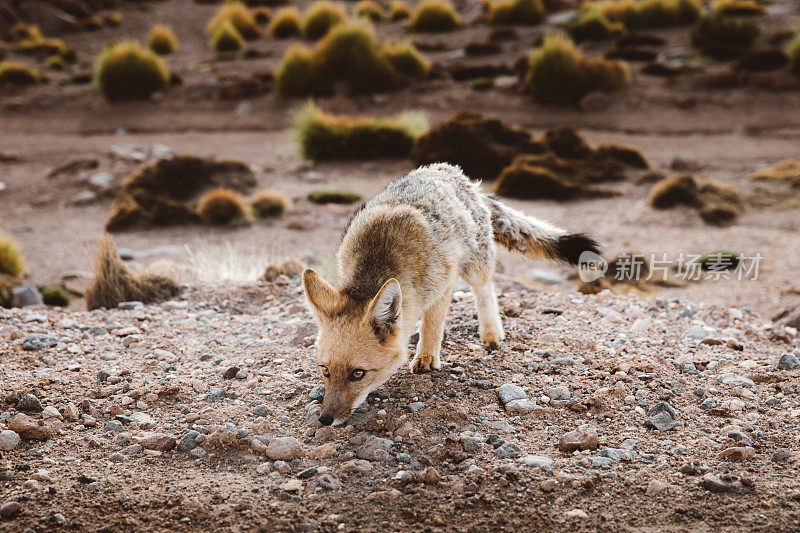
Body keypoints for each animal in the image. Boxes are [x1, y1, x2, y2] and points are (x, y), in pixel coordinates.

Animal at [304, 162, 596, 424]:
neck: (377, 261)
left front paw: (426, 357)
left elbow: (432, 324)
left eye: (358, 374)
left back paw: (491, 334)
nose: (325, 420)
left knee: (485, 289)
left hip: (474, 265)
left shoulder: (444, 283)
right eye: (325, 370)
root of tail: (449, 171)